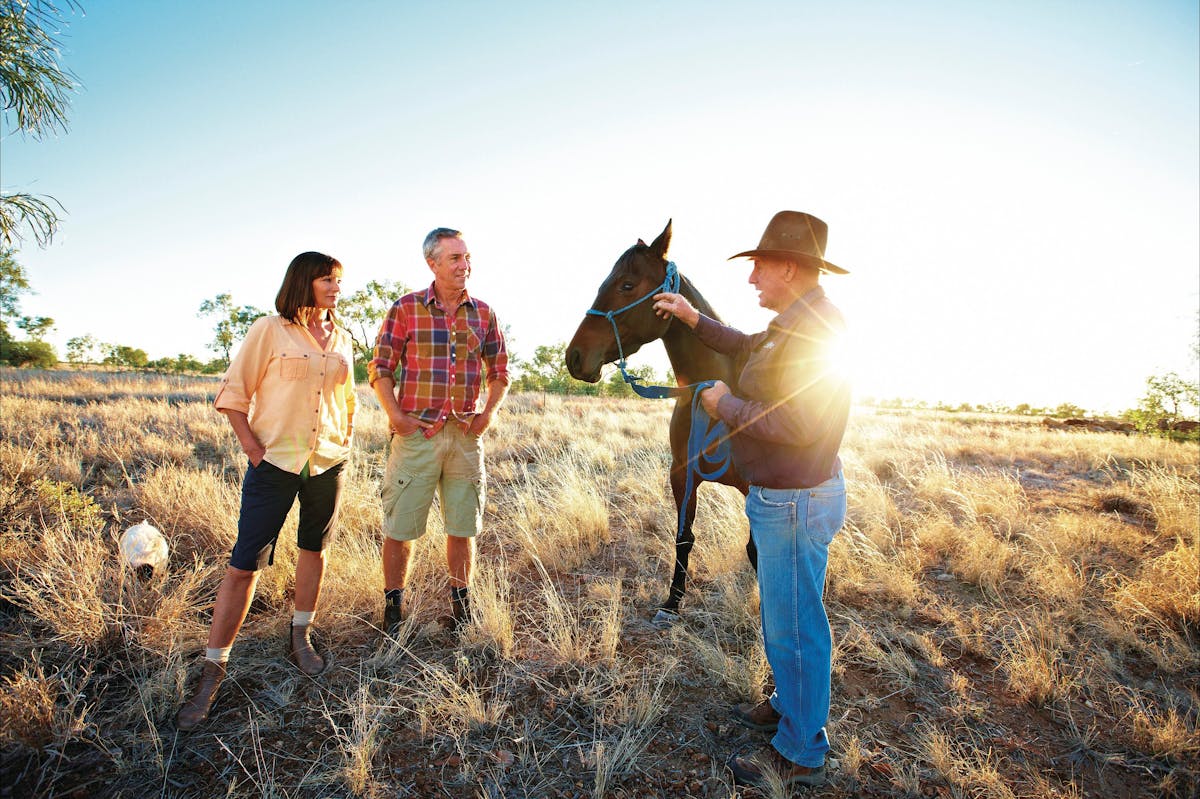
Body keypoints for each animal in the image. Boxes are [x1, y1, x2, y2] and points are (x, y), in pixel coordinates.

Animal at [566, 218, 753, 623]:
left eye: (626, 284)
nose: (574, 357)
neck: (712, 391)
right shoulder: (682, 475)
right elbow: (684, 537)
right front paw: (672, 602)